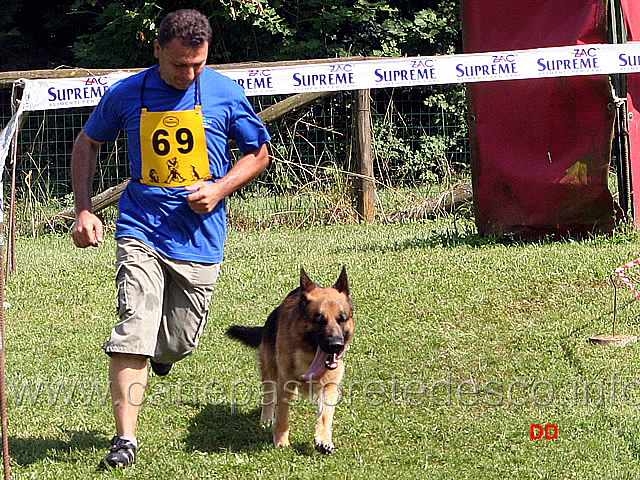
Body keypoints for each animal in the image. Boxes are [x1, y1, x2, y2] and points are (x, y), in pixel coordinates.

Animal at [226, 268, 356, 456]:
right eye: (319, 320)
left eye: (342, 319)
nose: (336, 345)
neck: (309, 358)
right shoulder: (284, 383)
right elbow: (282, 414)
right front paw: (281, 441)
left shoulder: (330, 386)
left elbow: (325, 416)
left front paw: (323, 440)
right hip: (270, 370)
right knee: (269, 395)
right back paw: (266, 420)